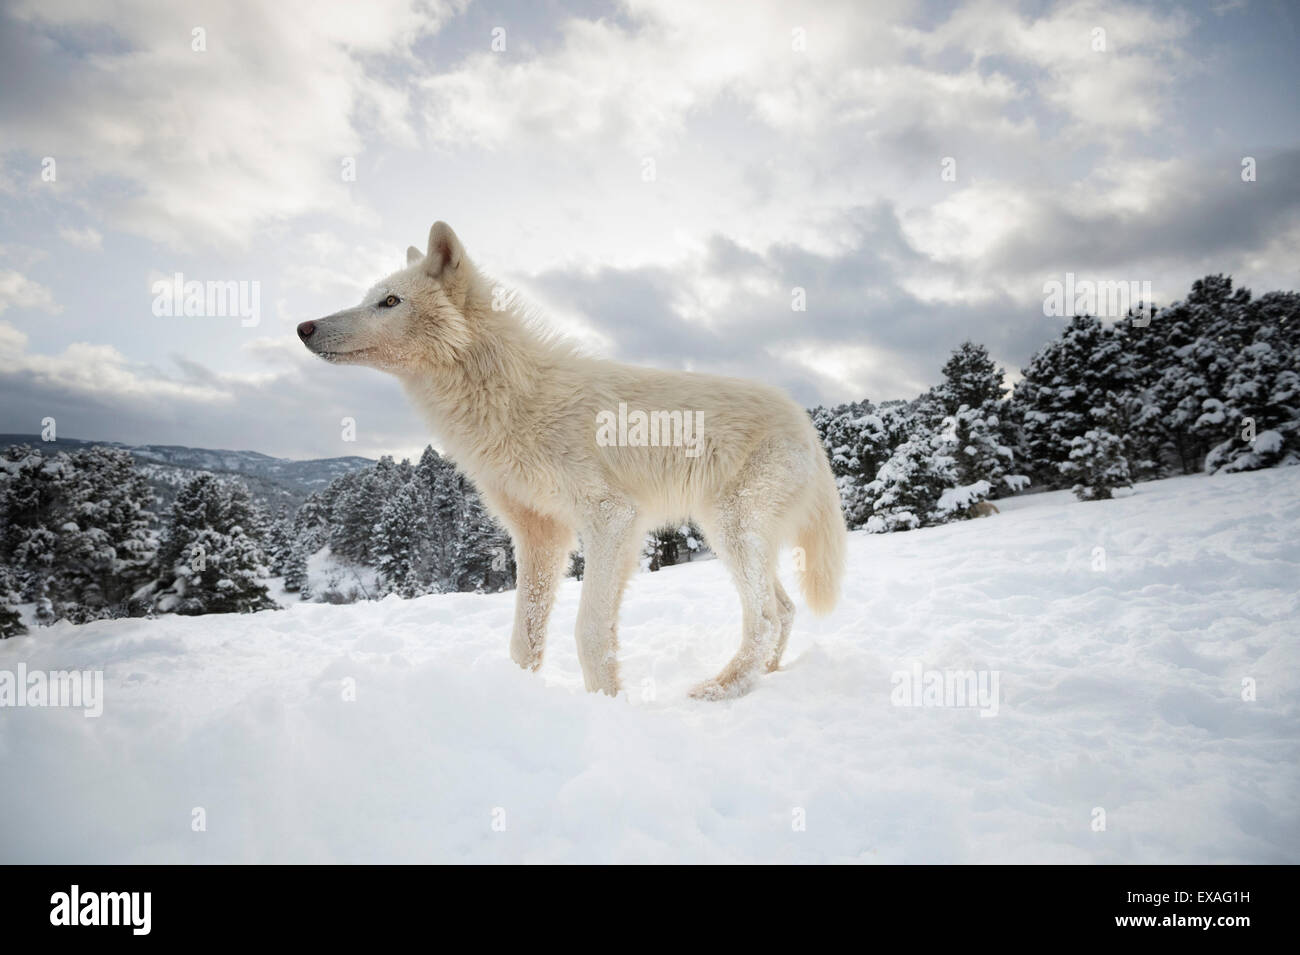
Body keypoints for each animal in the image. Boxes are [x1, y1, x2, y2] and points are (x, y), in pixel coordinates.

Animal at [297, 223, 847, 701]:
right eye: (371, 297)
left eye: (389, 302)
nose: (303, 326)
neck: (512, 400)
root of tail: (805, 422)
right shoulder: (540, 536)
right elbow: (524, 639)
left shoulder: (612, 519)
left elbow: (590, 631)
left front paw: (605, 703)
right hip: (731, 535)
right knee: (785, 610)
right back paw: (762, 678)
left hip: (730, 529)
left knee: (766, 617)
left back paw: (717, 691)